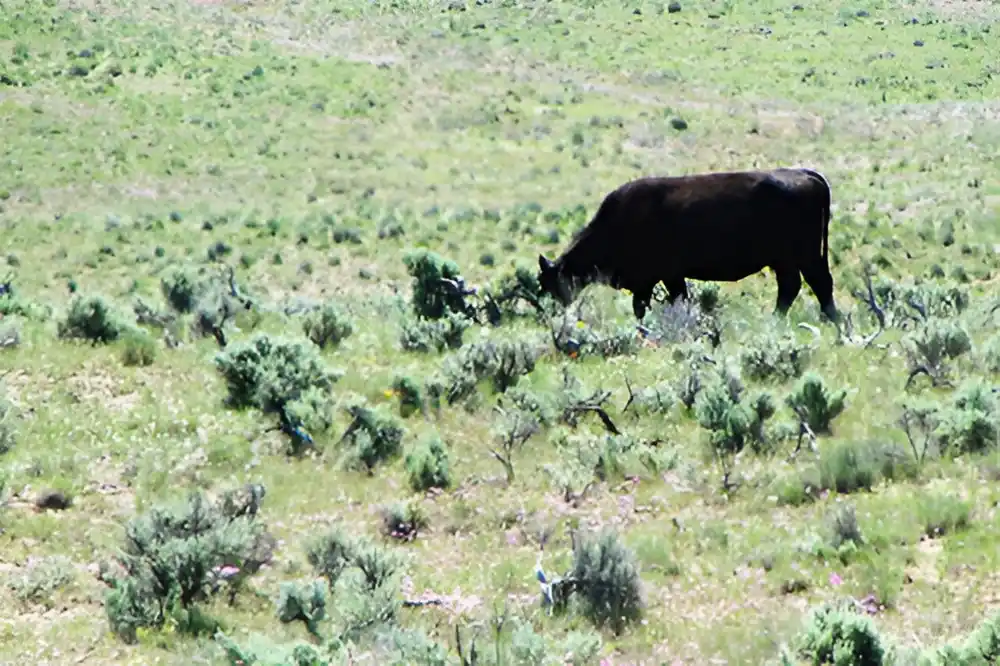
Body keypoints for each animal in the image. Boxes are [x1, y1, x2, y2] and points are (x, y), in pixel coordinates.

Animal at [536, 166, 840, 322]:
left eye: (550, 283)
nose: (555, 312)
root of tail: (807, 174)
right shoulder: (669, 278)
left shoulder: (654, 279)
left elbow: (643, 306)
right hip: (786, 260)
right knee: (794, 287)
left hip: (802, 256)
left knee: (816, 284)